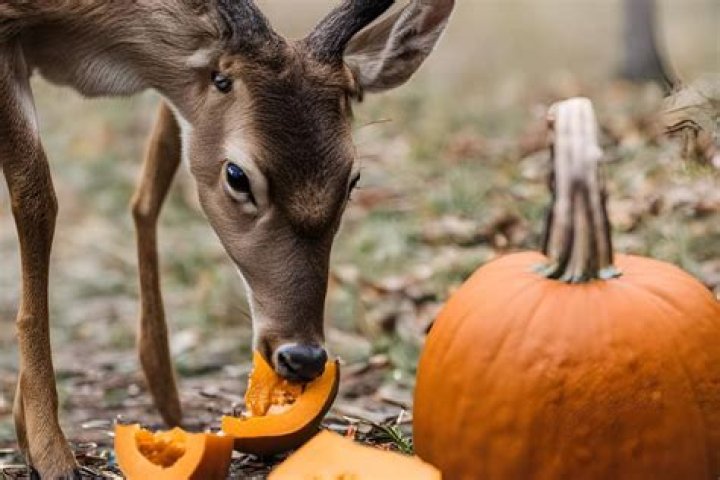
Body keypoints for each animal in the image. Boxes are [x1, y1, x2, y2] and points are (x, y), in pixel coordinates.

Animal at [0, 0, 454, 477]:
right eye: (237, 175)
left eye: (353, 179)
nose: (302, 357)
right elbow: (37, 198)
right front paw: (51, 451)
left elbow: (153, 183)